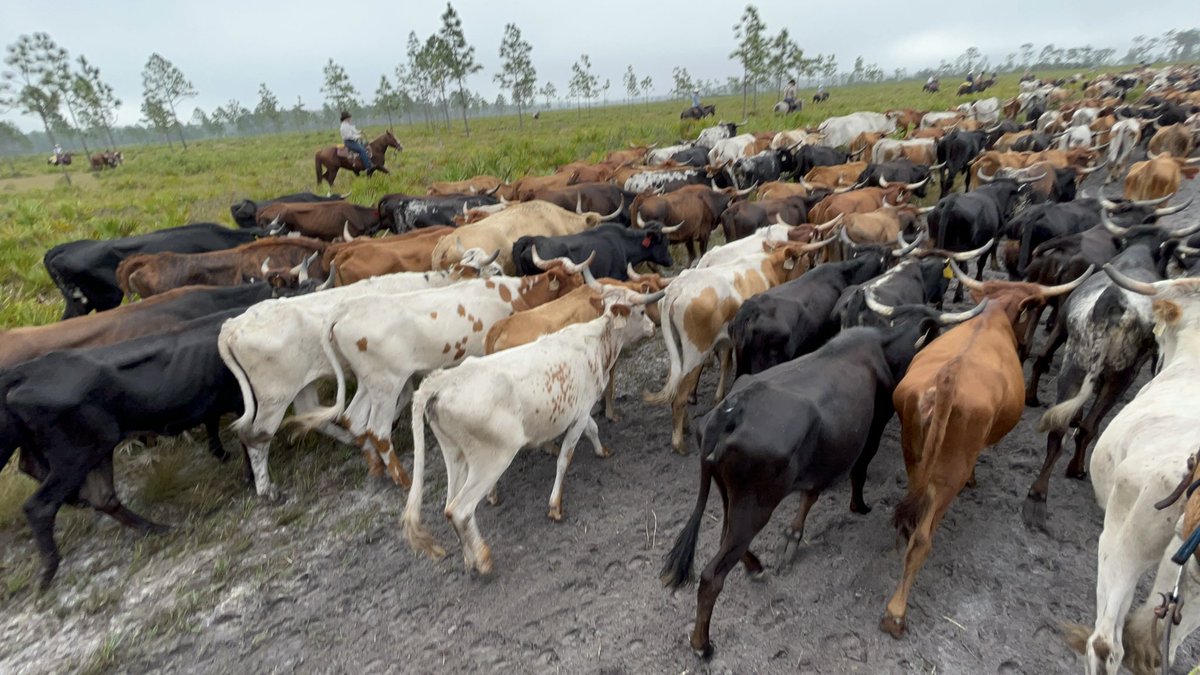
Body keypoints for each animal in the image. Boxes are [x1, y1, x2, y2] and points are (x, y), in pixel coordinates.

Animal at [401, 287, 661, 571]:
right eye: (642, 311)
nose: (653, 327)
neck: (596, 341)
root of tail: (442, 381)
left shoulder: (580, 410)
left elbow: (593, 429)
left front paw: (602, 450)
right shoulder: (580, 412)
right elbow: (565, 458)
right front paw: (555, 506)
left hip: (454, 453)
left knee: (448, 506)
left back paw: (470, 558)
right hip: (492, 459)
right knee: (460, 509)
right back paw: (483, 559)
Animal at [645, 240, 834, 453]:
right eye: (804, 260)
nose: (810, 269)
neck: (769, 266)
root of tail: (677, 288)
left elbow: (726, 363)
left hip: (678, 352)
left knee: (674, 386)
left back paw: (684, 426)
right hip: (695, 353)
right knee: (679, 397)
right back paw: (679, 443)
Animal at [880, 265, 1092, 637]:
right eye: (1033, 310)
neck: (992, 315)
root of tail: (947, 379)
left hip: (914, 456)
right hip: (948, 474)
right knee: (922, 539)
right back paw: (896, 612)